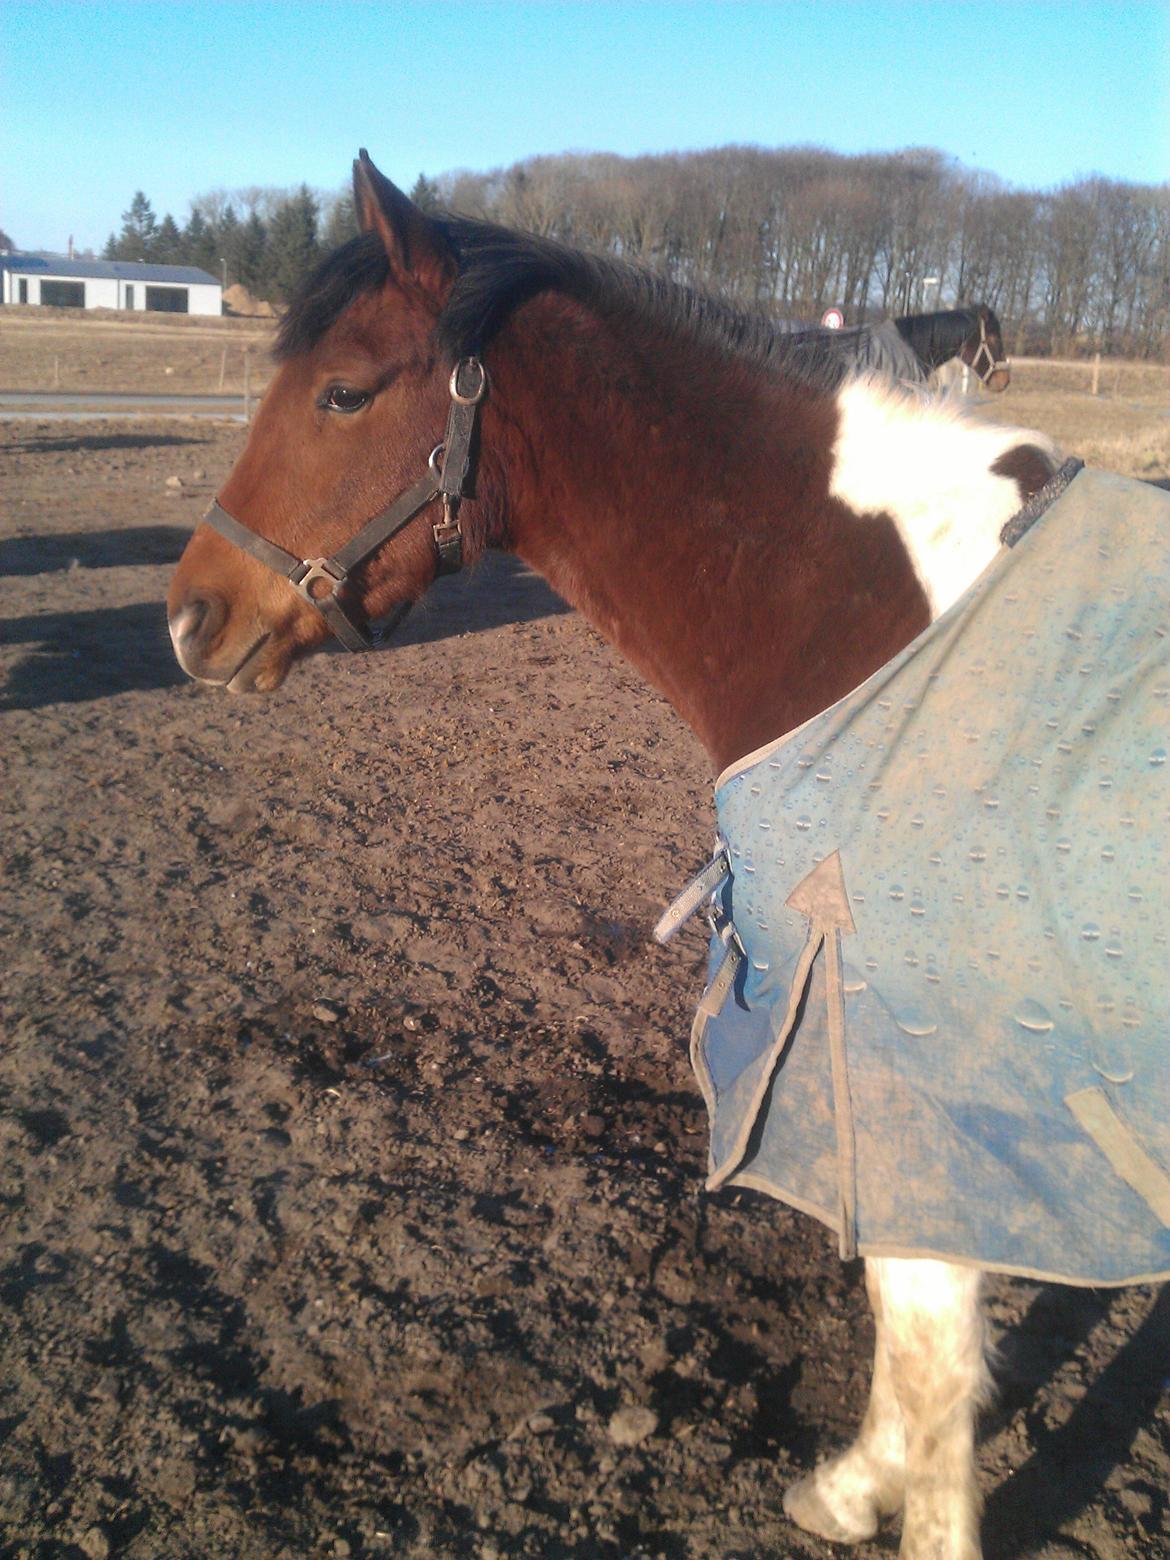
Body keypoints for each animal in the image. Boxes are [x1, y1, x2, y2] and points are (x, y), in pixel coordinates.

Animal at [166, 148, 1166, 1560]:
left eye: (345, 391)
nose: (189, 619)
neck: (887, 608)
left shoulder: (913, 1055)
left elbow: (928, 1345)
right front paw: (857, 1484)